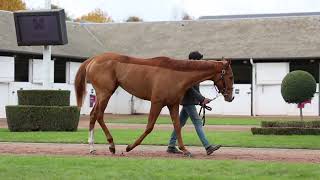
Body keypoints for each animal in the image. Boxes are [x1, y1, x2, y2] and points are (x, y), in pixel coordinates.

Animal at [75, 51, 235, 155]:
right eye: (231, 77)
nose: (231, 97)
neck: (176, 74)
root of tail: (94, 59)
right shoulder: (157, 102)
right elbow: (149, 126)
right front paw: (129, 147)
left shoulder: (173, 104)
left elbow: (177, 126)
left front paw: (184, 150)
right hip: (105, 93)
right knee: (99, 115)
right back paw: (111, 145)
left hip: (102, 94)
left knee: (93, 115)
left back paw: (92, 147)